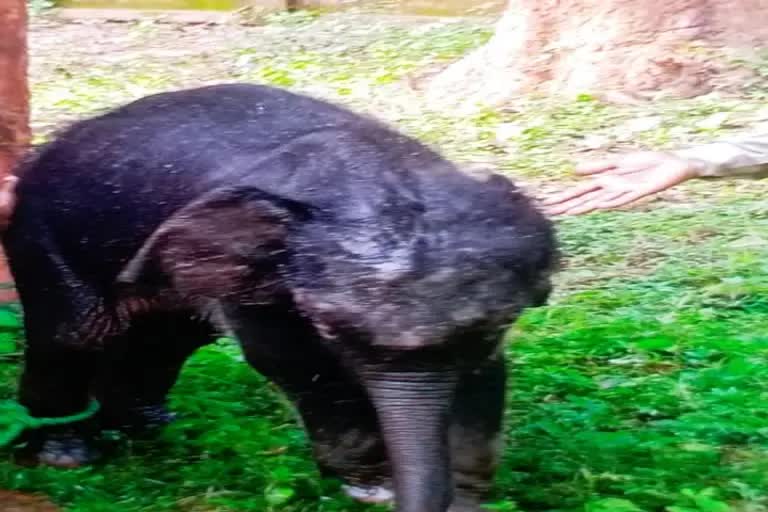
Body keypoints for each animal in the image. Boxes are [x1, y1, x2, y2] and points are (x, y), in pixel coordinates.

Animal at [4, 84, 560, 512]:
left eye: (497, 324)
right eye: (329, 326)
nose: (409, 495)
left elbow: (486, 377)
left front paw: (467, 498)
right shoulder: (261, 275)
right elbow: (297, 364)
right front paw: (372, 486)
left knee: (165, 340)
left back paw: (146, 429)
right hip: (43, 236)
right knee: (74, 336)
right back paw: (65, 453)